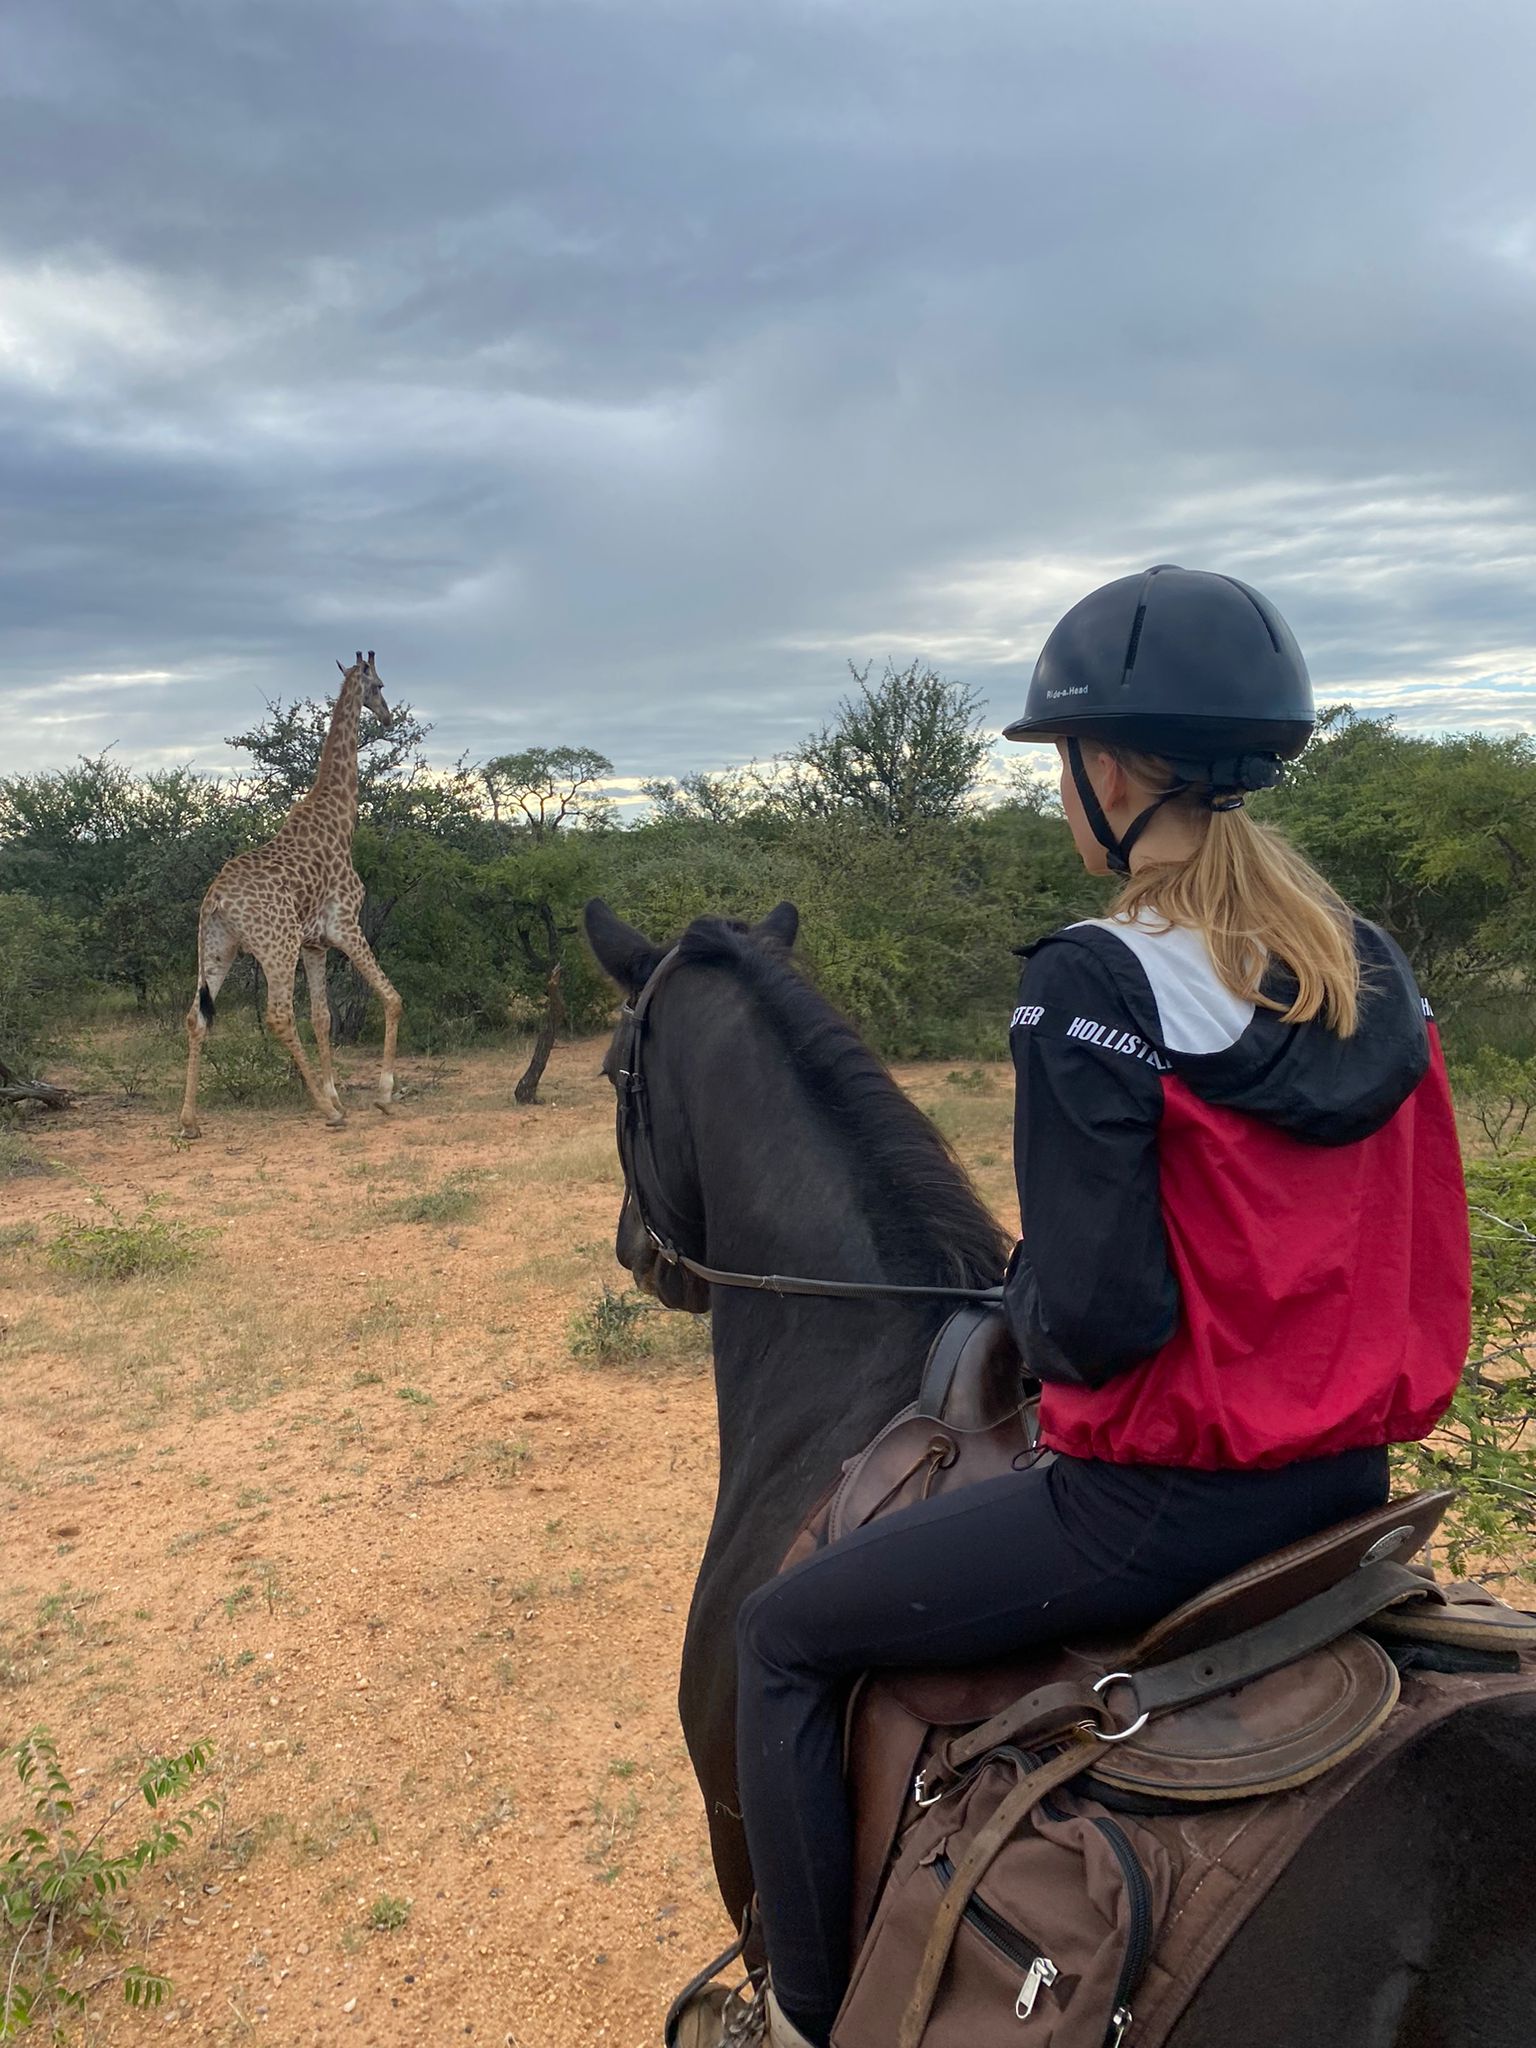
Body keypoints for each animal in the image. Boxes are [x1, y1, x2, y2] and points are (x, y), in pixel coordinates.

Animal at [178, 652, 403, 1140]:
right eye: (379, 685)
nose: (388, 716)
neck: (340, 818)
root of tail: (215, 901)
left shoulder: (315, 944)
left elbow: (322, 1019)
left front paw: (339, 1094)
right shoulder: (345, 925)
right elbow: (391, 998)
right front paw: (379, 1097)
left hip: (217, 948)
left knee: (195, 1017)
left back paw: (188, 1120)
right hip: (275, 945)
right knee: (278, 1015)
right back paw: (325, 1112)